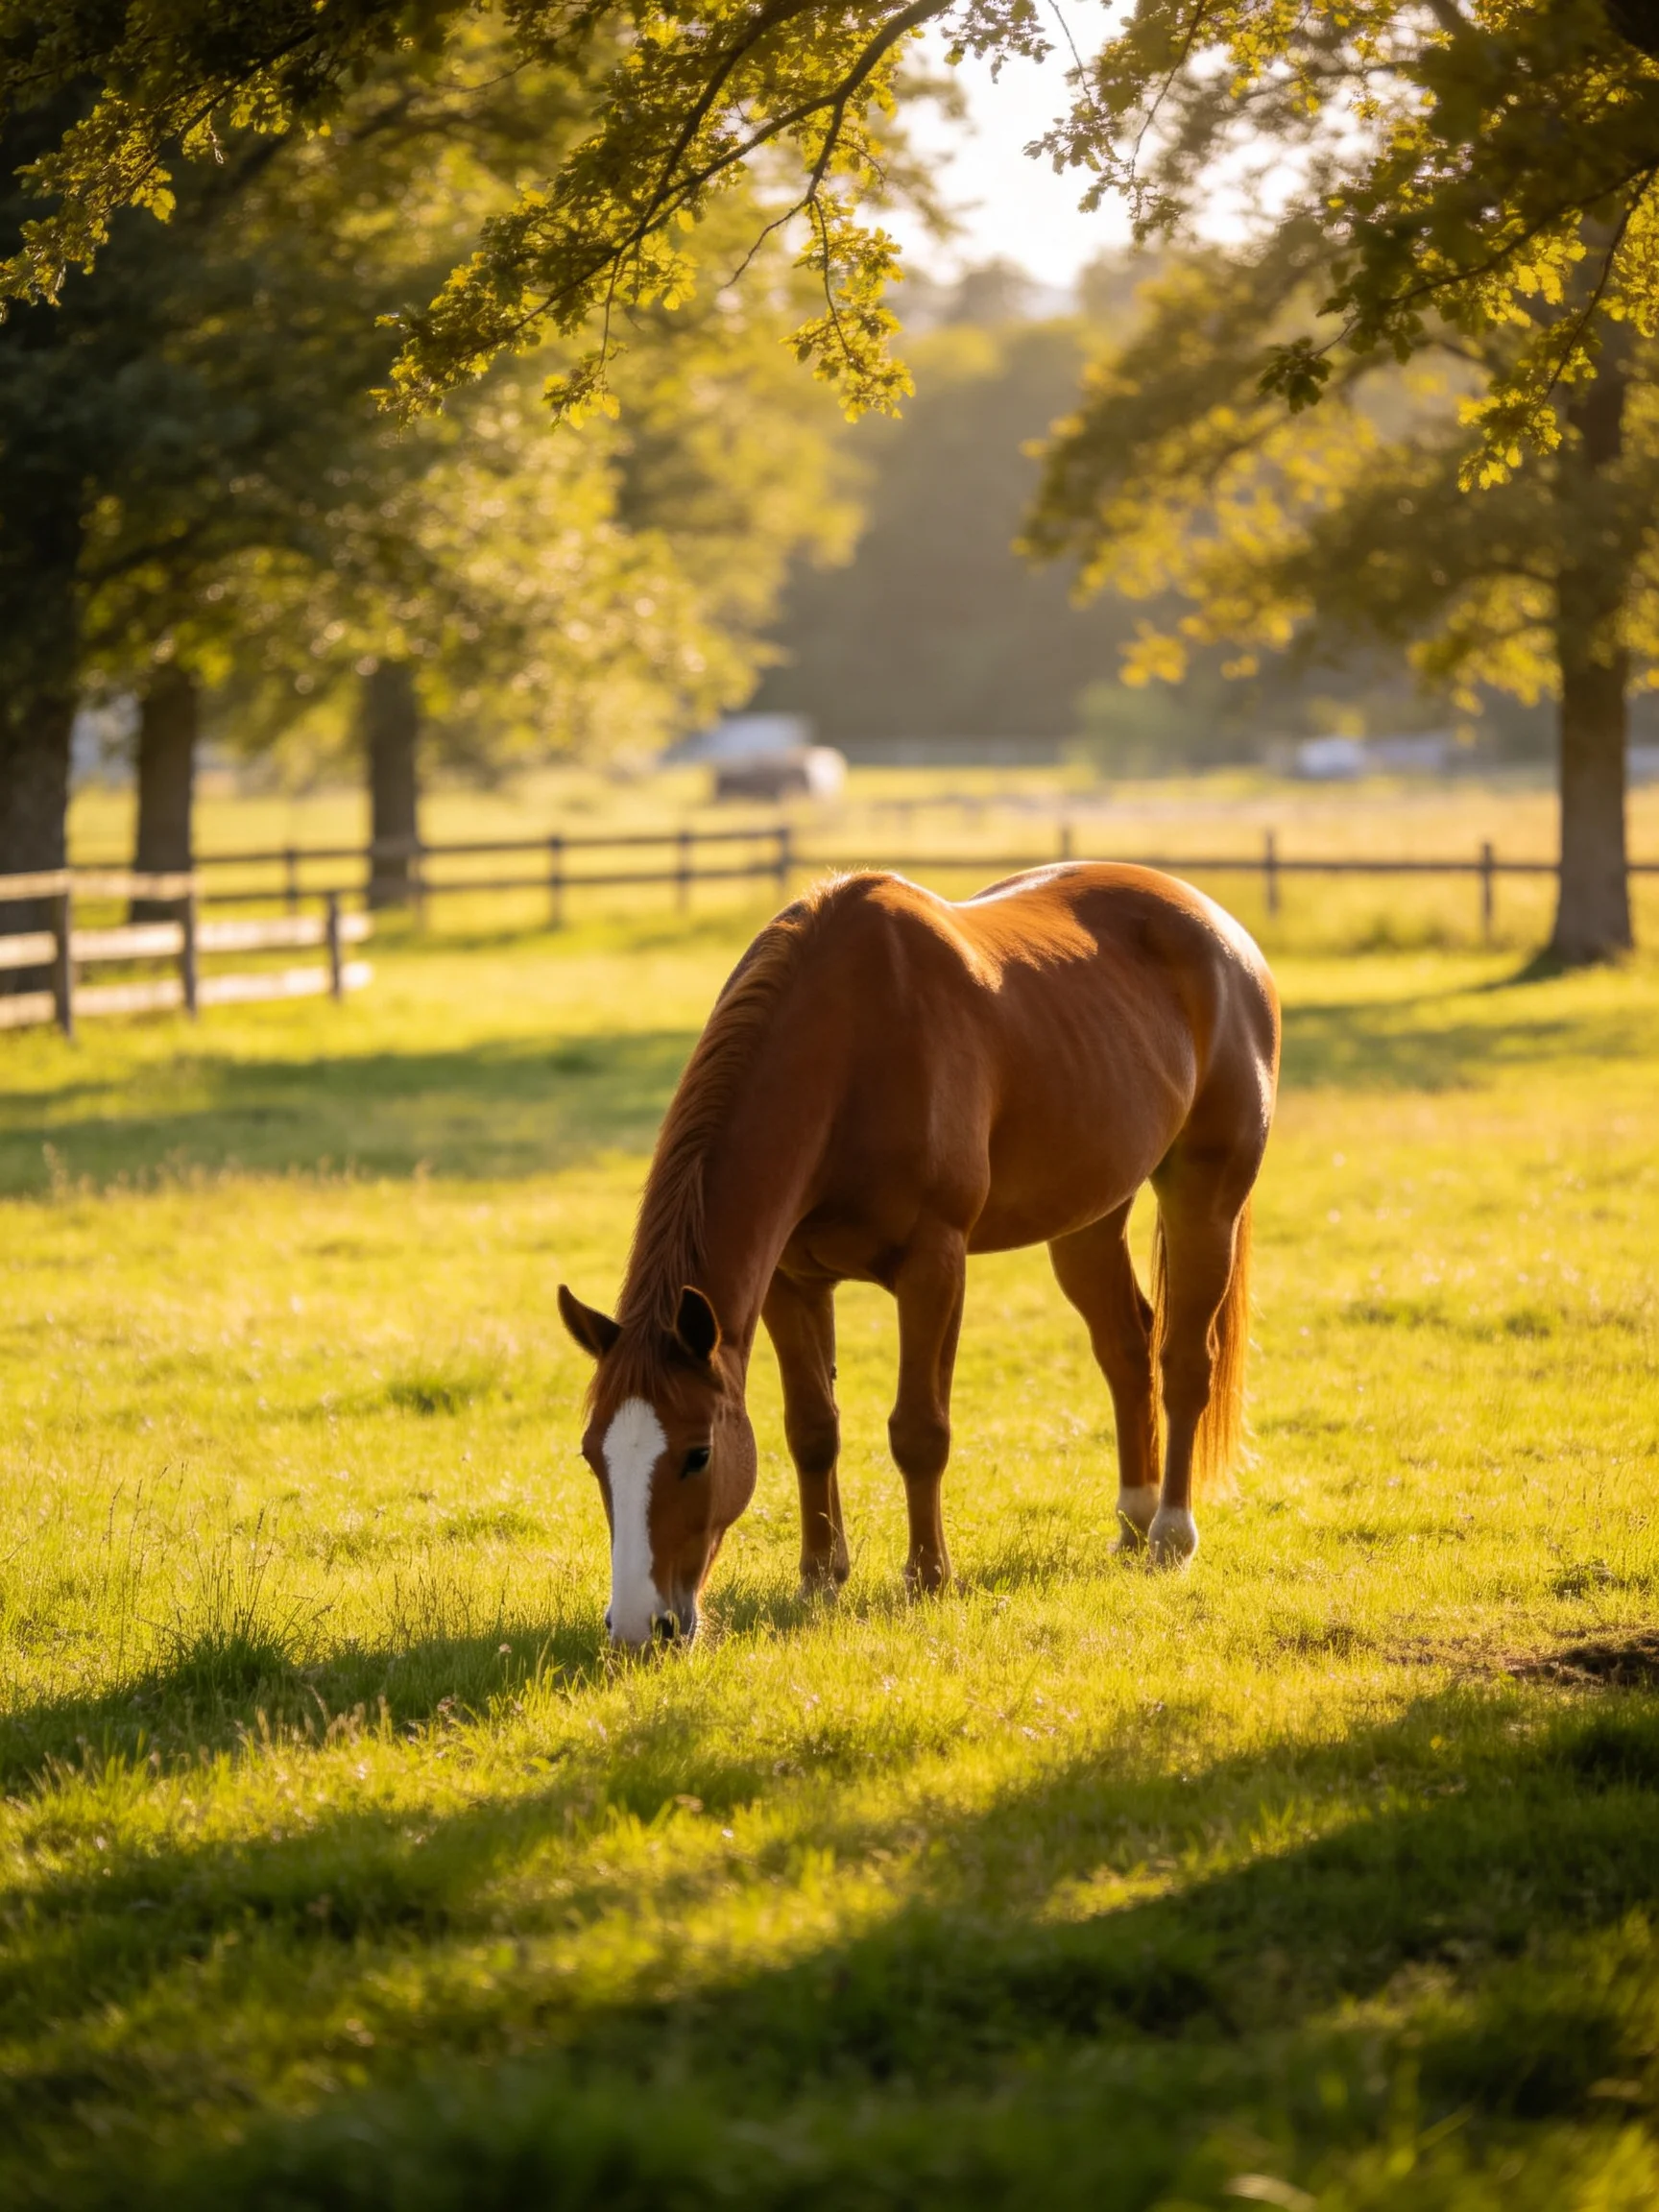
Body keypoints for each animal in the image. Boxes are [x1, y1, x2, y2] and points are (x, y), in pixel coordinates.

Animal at [559, 863, 1280, 1646]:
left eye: (698, 1455)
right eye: (593, 1454)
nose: (639, 1627)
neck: (850, 1053)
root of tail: (1221, 930)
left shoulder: (934, 1265)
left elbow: (919, 1430)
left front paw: (929, 1579)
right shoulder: (791, 1281)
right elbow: (811, 1428)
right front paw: (820, 1579)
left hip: (1205, 1196)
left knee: (1183, 1361)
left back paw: (1171, 1535)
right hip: (1087, 1218)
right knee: (1127, 1347)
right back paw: (1133, 1520)